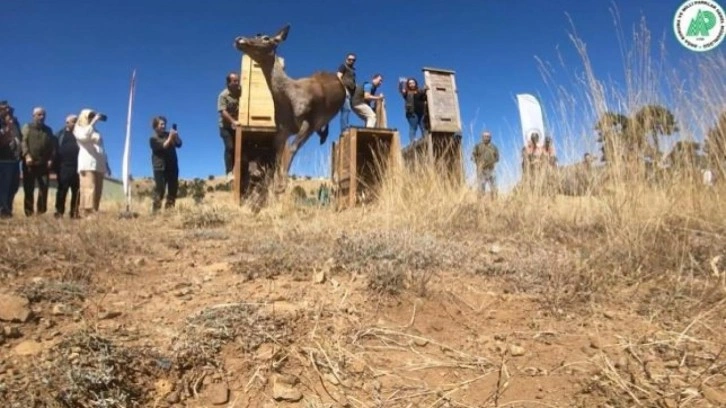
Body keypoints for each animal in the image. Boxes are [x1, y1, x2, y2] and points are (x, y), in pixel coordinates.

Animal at [233, 24, 346, 194]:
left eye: (266, 38)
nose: (239, 39)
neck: (288, 99)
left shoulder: (308, 121)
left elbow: (292, 148)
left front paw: (282, 185)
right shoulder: (282, 129)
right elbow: (278, 156)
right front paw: (275, 185)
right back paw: (323, 135)